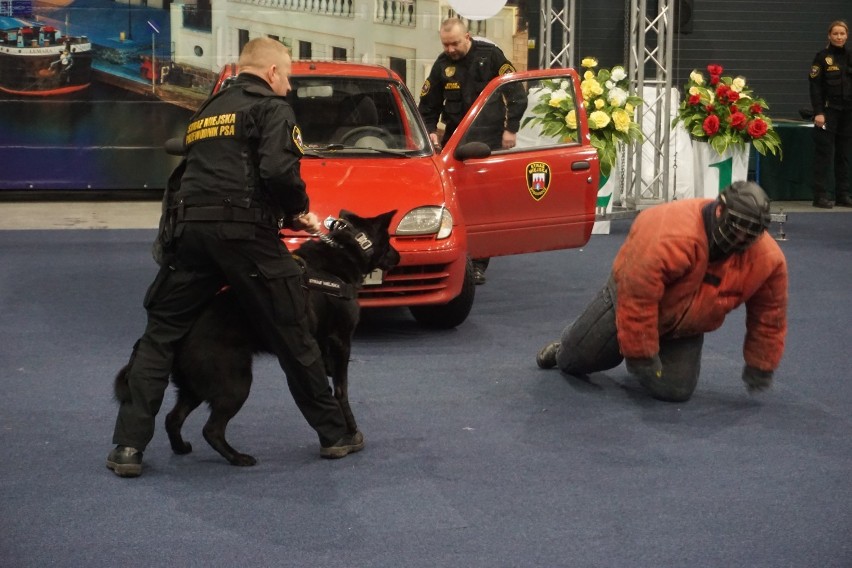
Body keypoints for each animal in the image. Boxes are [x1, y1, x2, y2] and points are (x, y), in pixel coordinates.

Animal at [112, 209, 400, 466]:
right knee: (211, 429)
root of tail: (180, 340)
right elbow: (341, 391)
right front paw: (350, 432)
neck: (344, 252)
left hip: (195, 388)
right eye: (389, 241)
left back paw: (180, 448)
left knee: (172, 418)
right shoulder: (341, 342)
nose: (397, 257)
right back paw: (237, 458)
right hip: (235, 384)